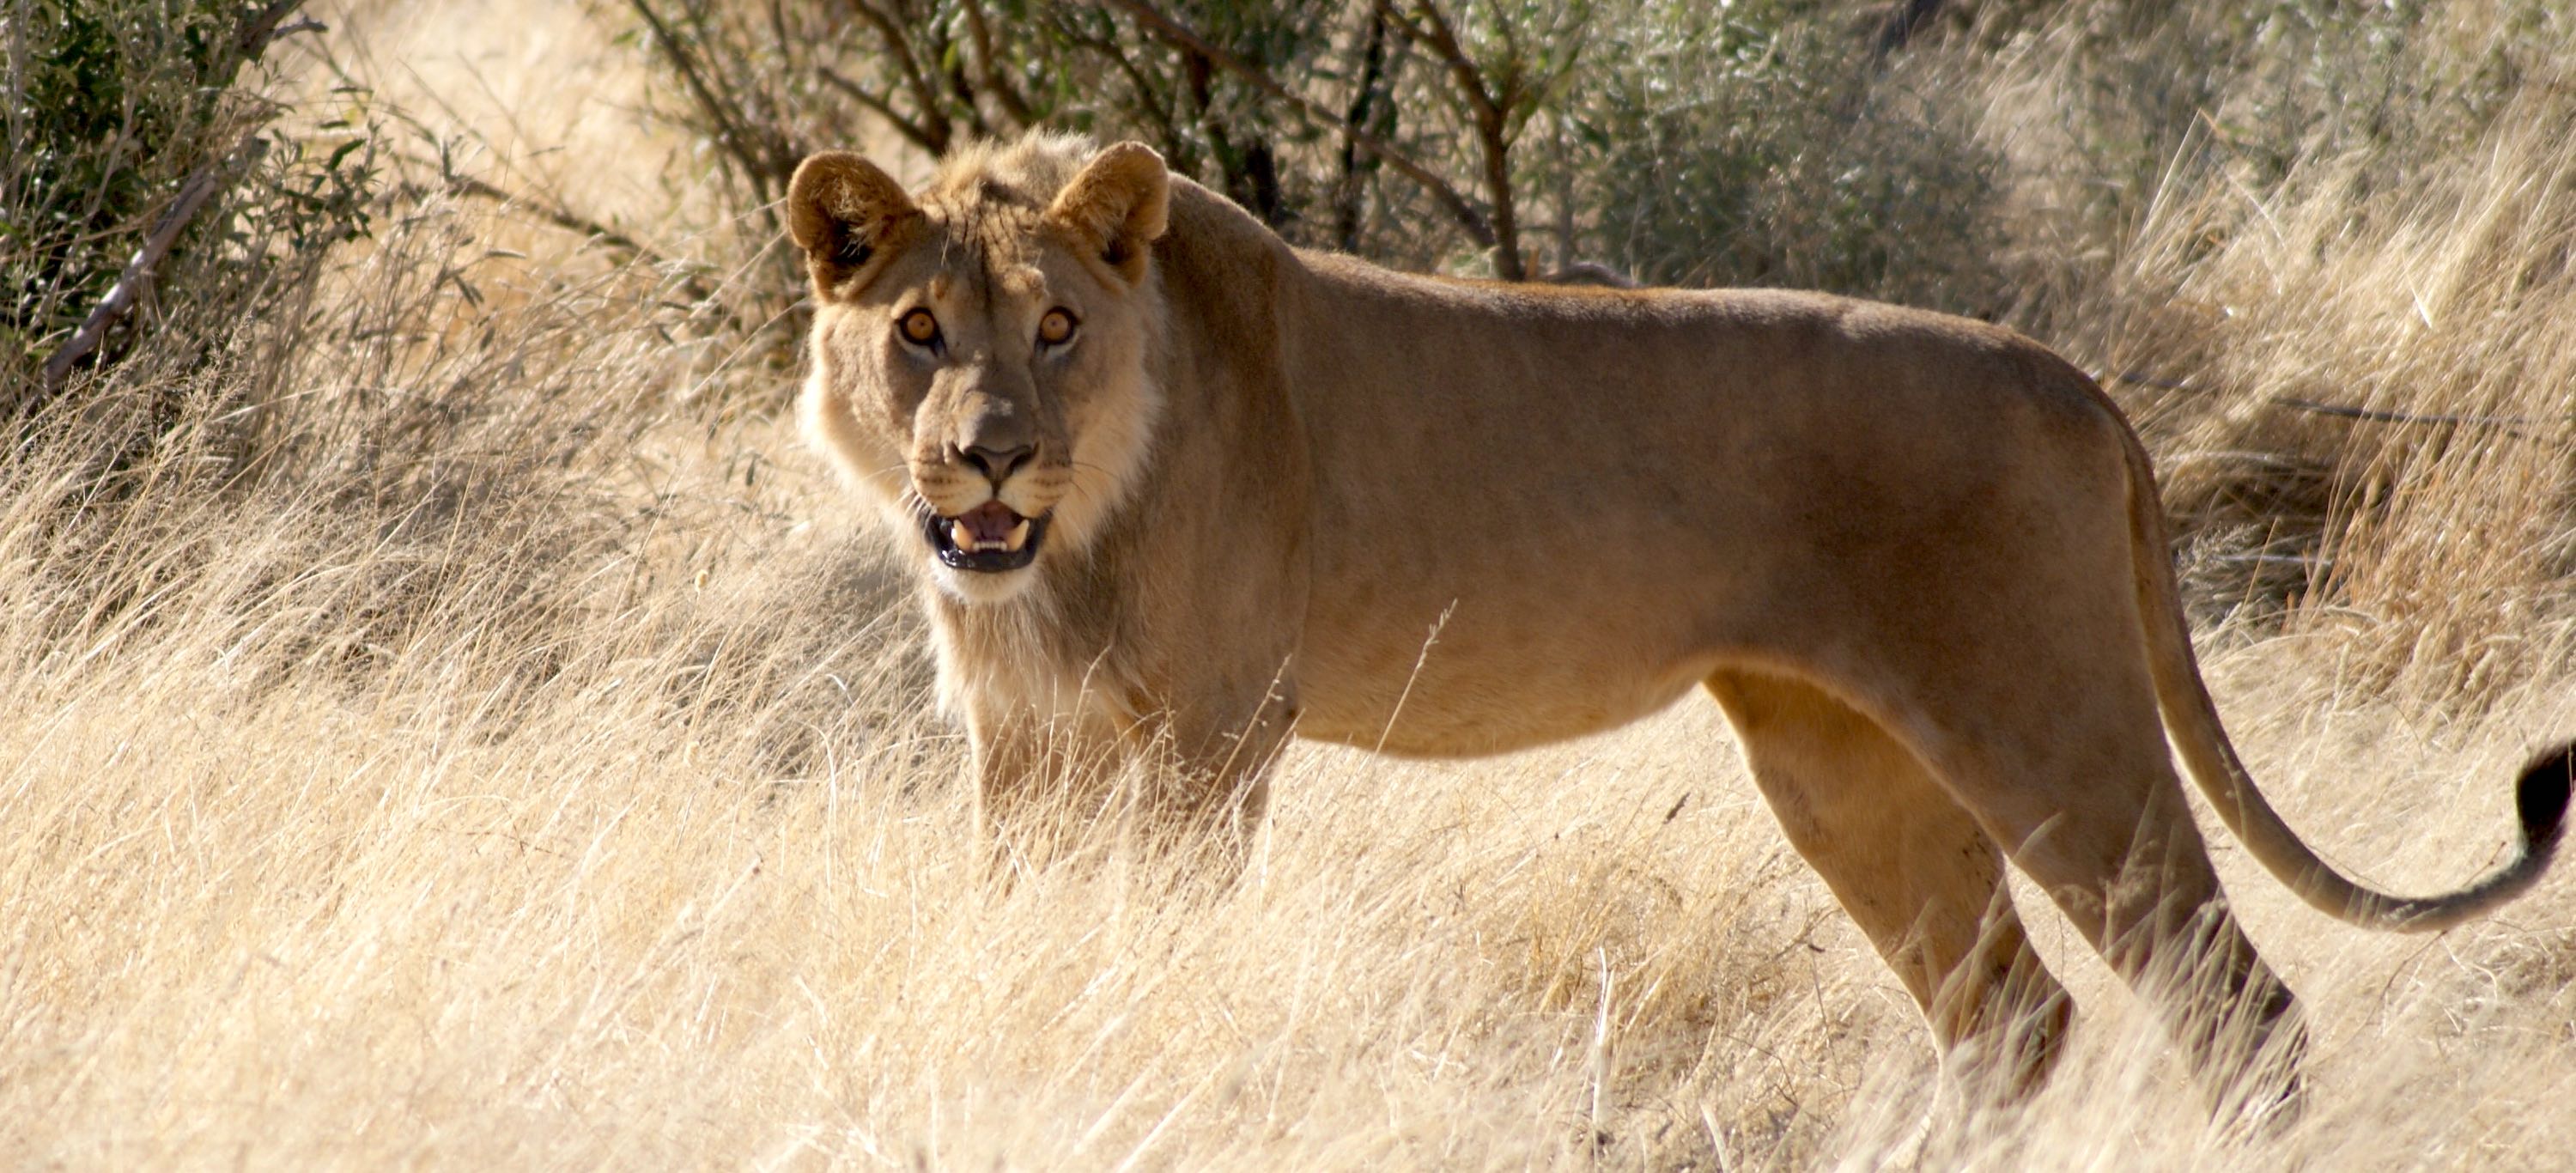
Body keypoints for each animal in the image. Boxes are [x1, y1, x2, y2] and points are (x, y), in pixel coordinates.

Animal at [786, 132, 2571, 1108]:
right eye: (921, 329)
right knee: (2015, 1017)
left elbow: (1163, 934)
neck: (1070, 540)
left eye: (1060, 328)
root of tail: (2072, 379)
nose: (989, 451)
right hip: (1846, 769)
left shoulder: (1218, 736)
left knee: (2236, 1009)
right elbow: (1018, 920)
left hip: (2050, 724)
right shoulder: (1023, 747)